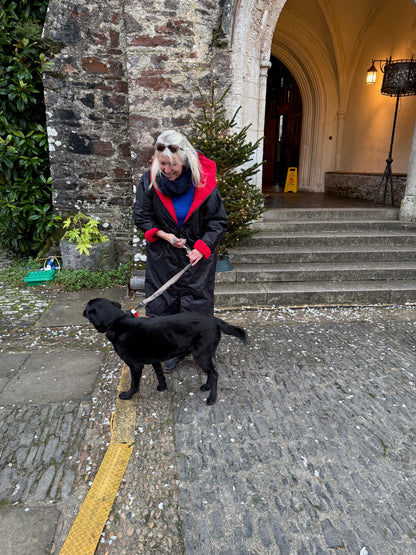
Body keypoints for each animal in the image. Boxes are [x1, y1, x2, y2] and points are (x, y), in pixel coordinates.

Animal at [83, 300, 245, 404]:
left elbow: (134, 384)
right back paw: (206, 386)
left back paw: (212, 397)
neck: (117, 321)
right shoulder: (155, 361)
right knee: (211, 372)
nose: (83, 312)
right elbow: (160, 375)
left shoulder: (135, 366)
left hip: (201, 355)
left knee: (215, 373)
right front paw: (162, 387)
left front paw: (128, 395)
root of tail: (213, 319)